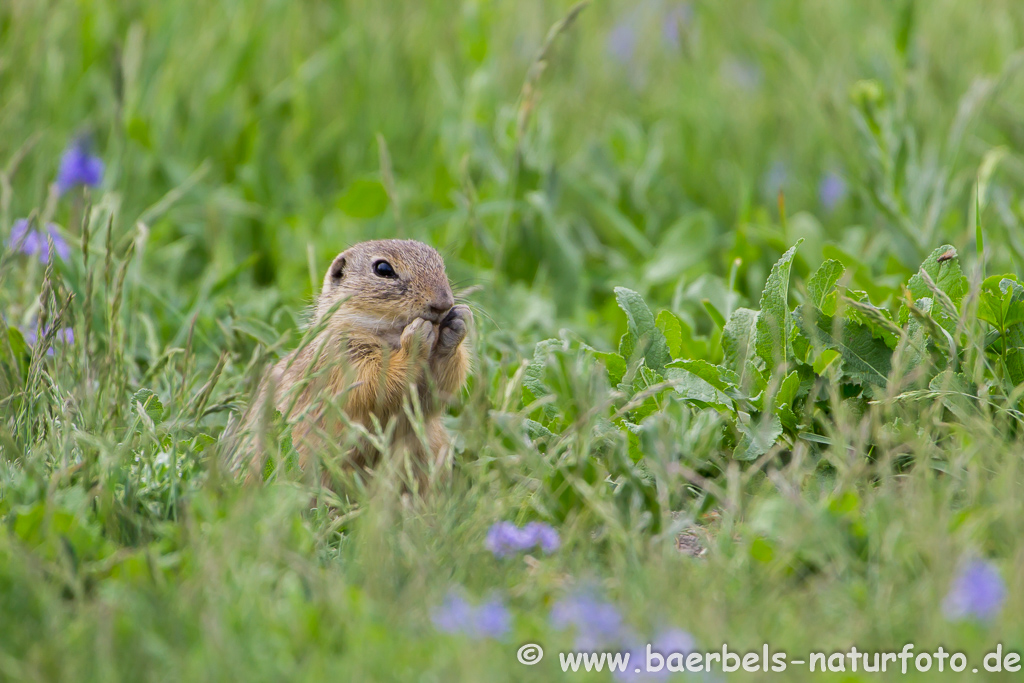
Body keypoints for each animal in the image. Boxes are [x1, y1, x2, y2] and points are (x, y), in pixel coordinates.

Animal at [234, 240, 468, 485]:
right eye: (383, 269)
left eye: (440, 264)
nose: (444, 303)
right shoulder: (344, 356)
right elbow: (375, 384)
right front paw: (416, 338)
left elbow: (438, 389)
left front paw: (458, 322)